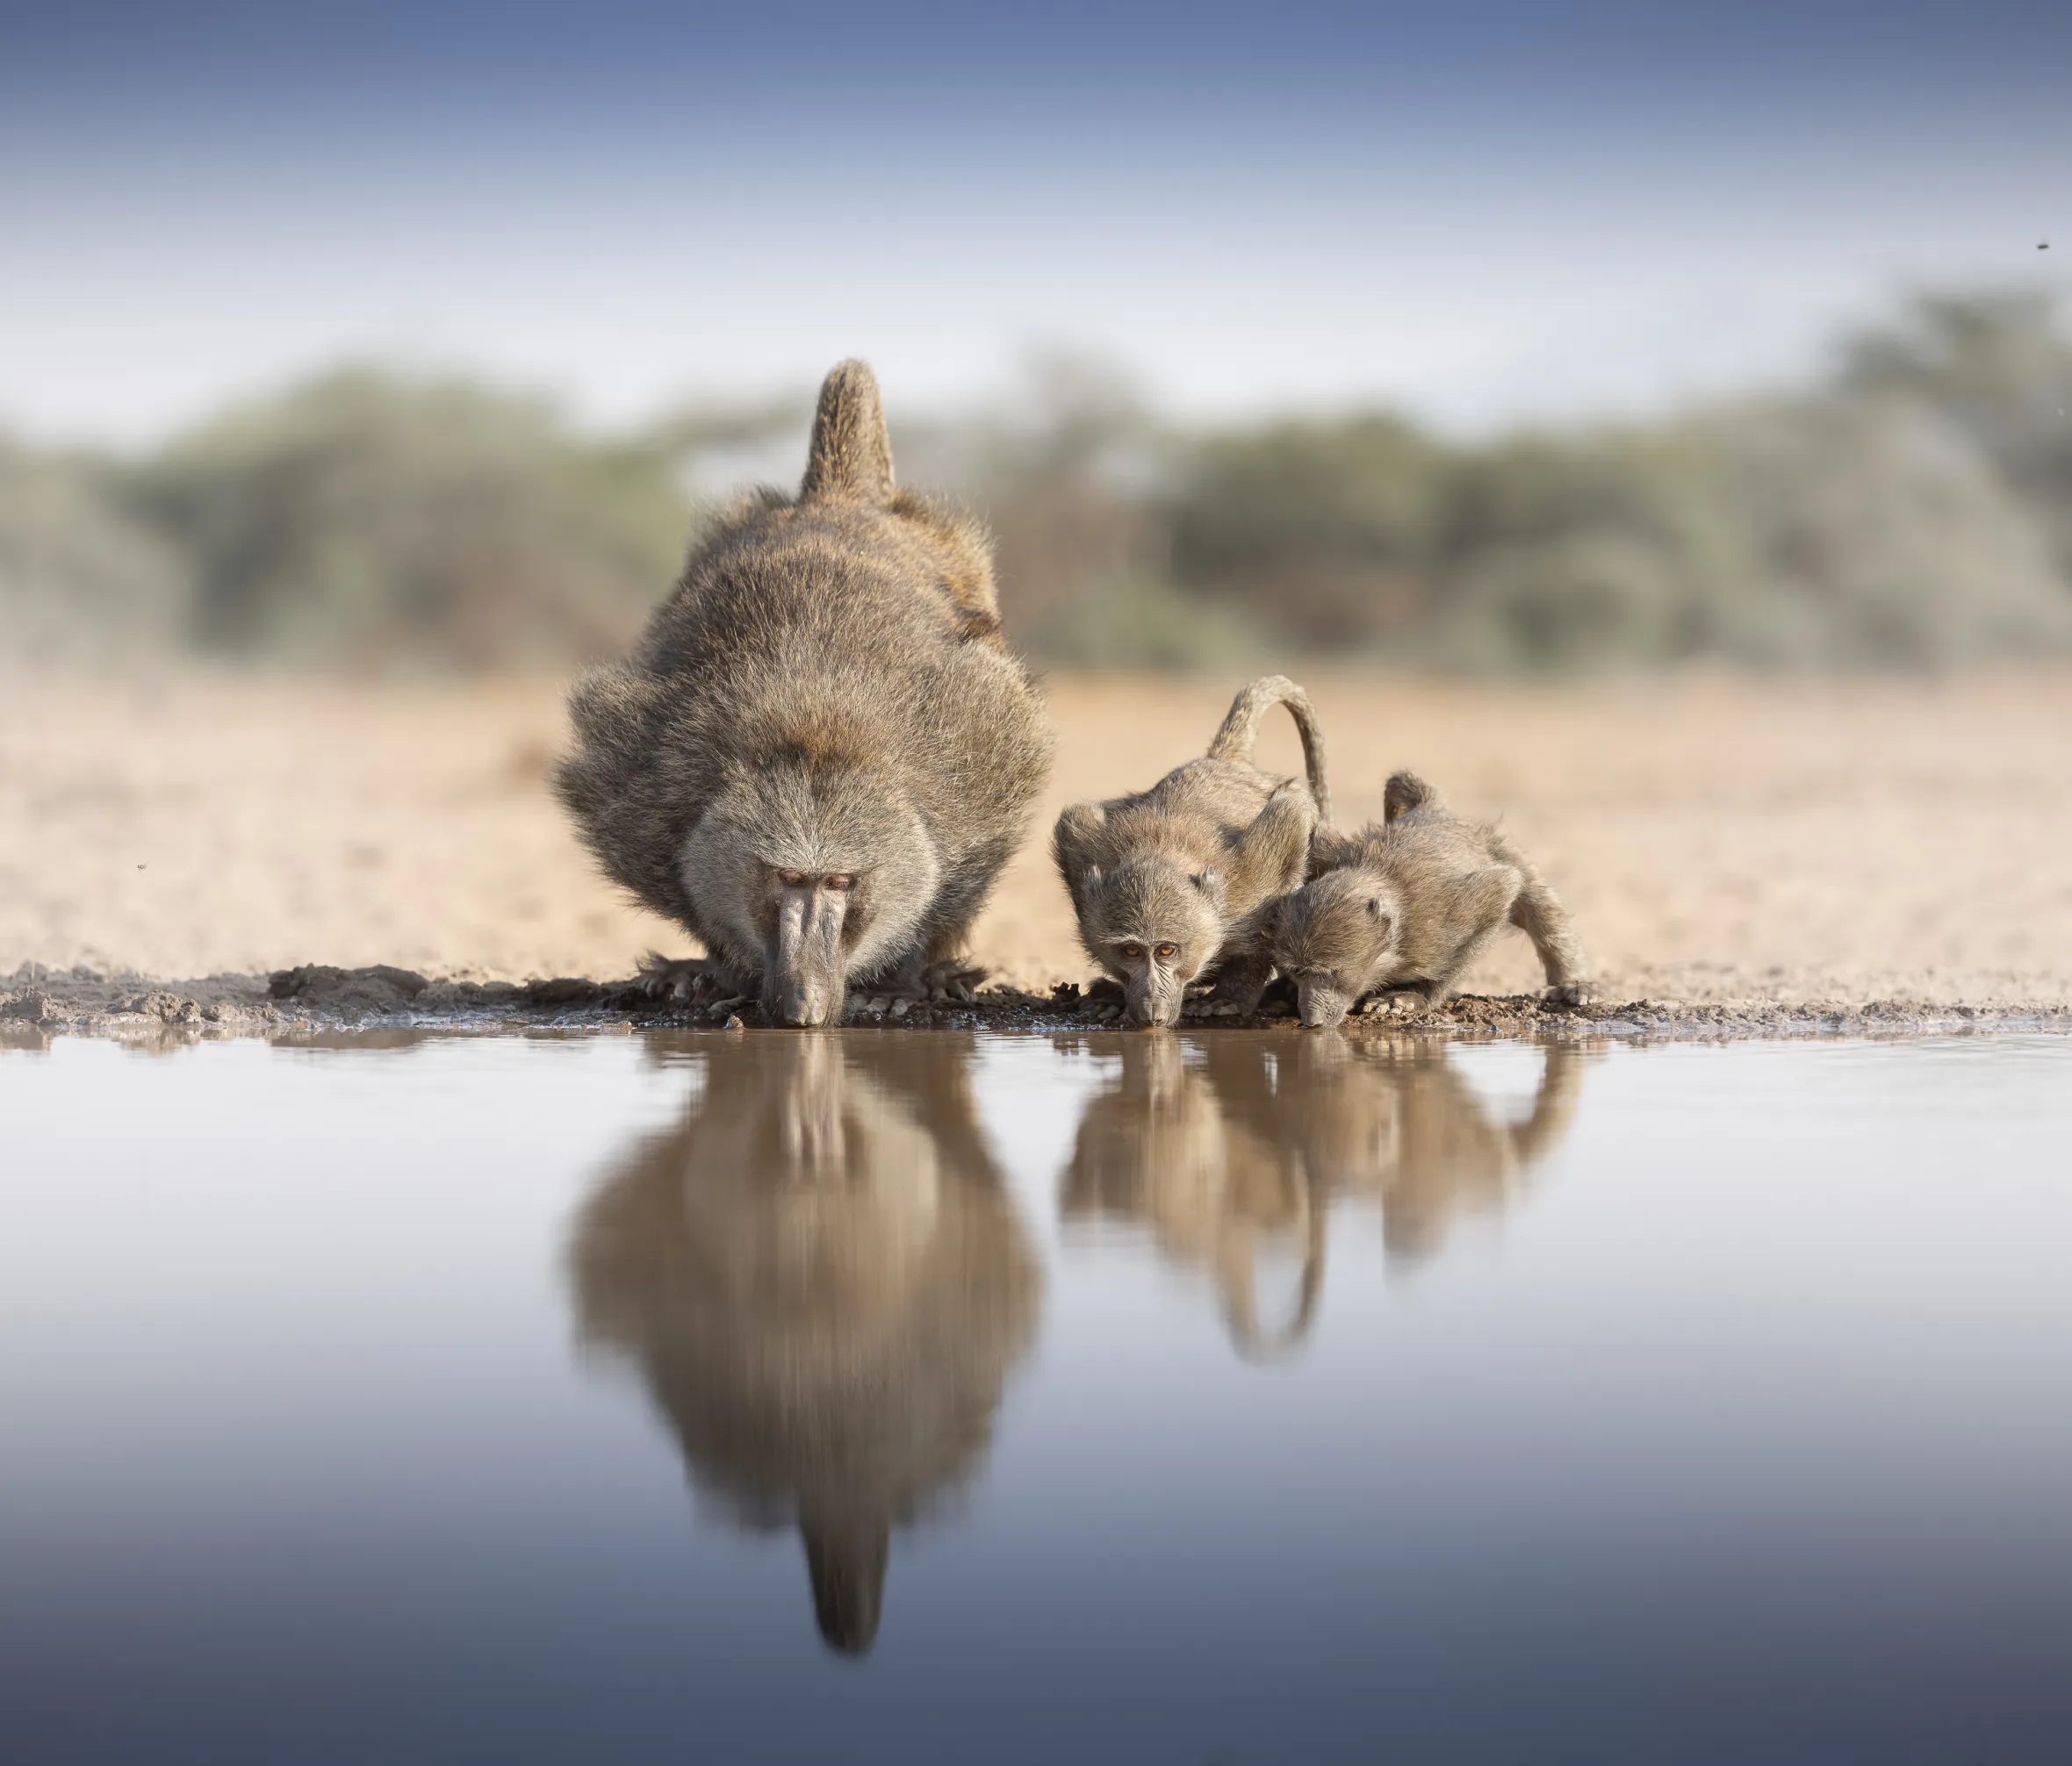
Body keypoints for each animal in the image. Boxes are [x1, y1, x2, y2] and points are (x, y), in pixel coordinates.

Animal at [554, 361, 1054, 1027]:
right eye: (788, 878)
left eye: (839, 883)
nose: (805, 1005)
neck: (817, 723)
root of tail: (836, 499)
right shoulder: (647, 784)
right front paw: (716, 972)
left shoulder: (979, 770)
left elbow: (958, 877)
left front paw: (902, 983)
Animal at [1052, 675, 1331, 1028]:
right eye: (1131, 952)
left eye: (1166, 951)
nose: (1151, 1014)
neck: (1161, 852)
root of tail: (1223, 760)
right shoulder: (1078, 845)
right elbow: (1075, 818)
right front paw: (1115, 994)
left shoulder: (1254, 872)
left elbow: (1290, 816)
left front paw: (1233, 995)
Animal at [1260, 769, 1589, 1030]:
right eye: (1298, 972)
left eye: (1329, 973)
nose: (1311, 1021)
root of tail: (1437, 812)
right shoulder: (1327, 854)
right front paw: (1285, 989)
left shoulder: (1436, 923)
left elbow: (1505, 888)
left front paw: (1413, 997)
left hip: (1497, 843)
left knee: (1538, 904)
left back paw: (1574, 983)